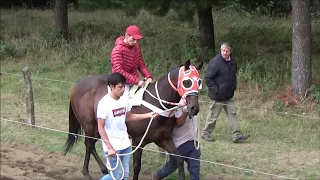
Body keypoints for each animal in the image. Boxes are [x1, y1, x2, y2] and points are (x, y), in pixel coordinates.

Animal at [63, 59, 201, 179]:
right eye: (187, 82)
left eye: (199, 82)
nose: (194, 108)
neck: (156, 103)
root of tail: (77, 85)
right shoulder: (137, 140)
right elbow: (136, 167)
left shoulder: (164, 139)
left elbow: (179, 159)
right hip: (90, 125)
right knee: (89, 144)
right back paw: (98, 171)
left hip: (98, 128)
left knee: (89, 144)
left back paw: (89, 171)